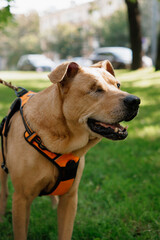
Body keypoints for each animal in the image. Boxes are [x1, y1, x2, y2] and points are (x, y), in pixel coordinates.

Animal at [0, 60, 140, 240]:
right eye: (96, 89)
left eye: (118, 85)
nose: (135, 101)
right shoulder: (21, 199)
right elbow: (20, 232)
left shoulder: (70, 198)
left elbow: (65, 231)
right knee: (3, 193)